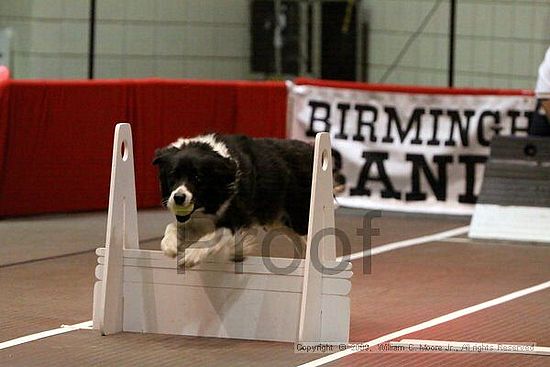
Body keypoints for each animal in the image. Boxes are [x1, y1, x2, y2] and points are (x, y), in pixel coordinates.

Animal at [155, 134, 344, 268]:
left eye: (197, 178)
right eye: (173, 176)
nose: (178, 198)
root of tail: (311, 148)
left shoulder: (238, 218)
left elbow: (216, 235)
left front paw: (192, 254)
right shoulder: (196, 220)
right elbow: (173, 227)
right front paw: (169, 244)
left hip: (300, 217)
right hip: (279, 221)